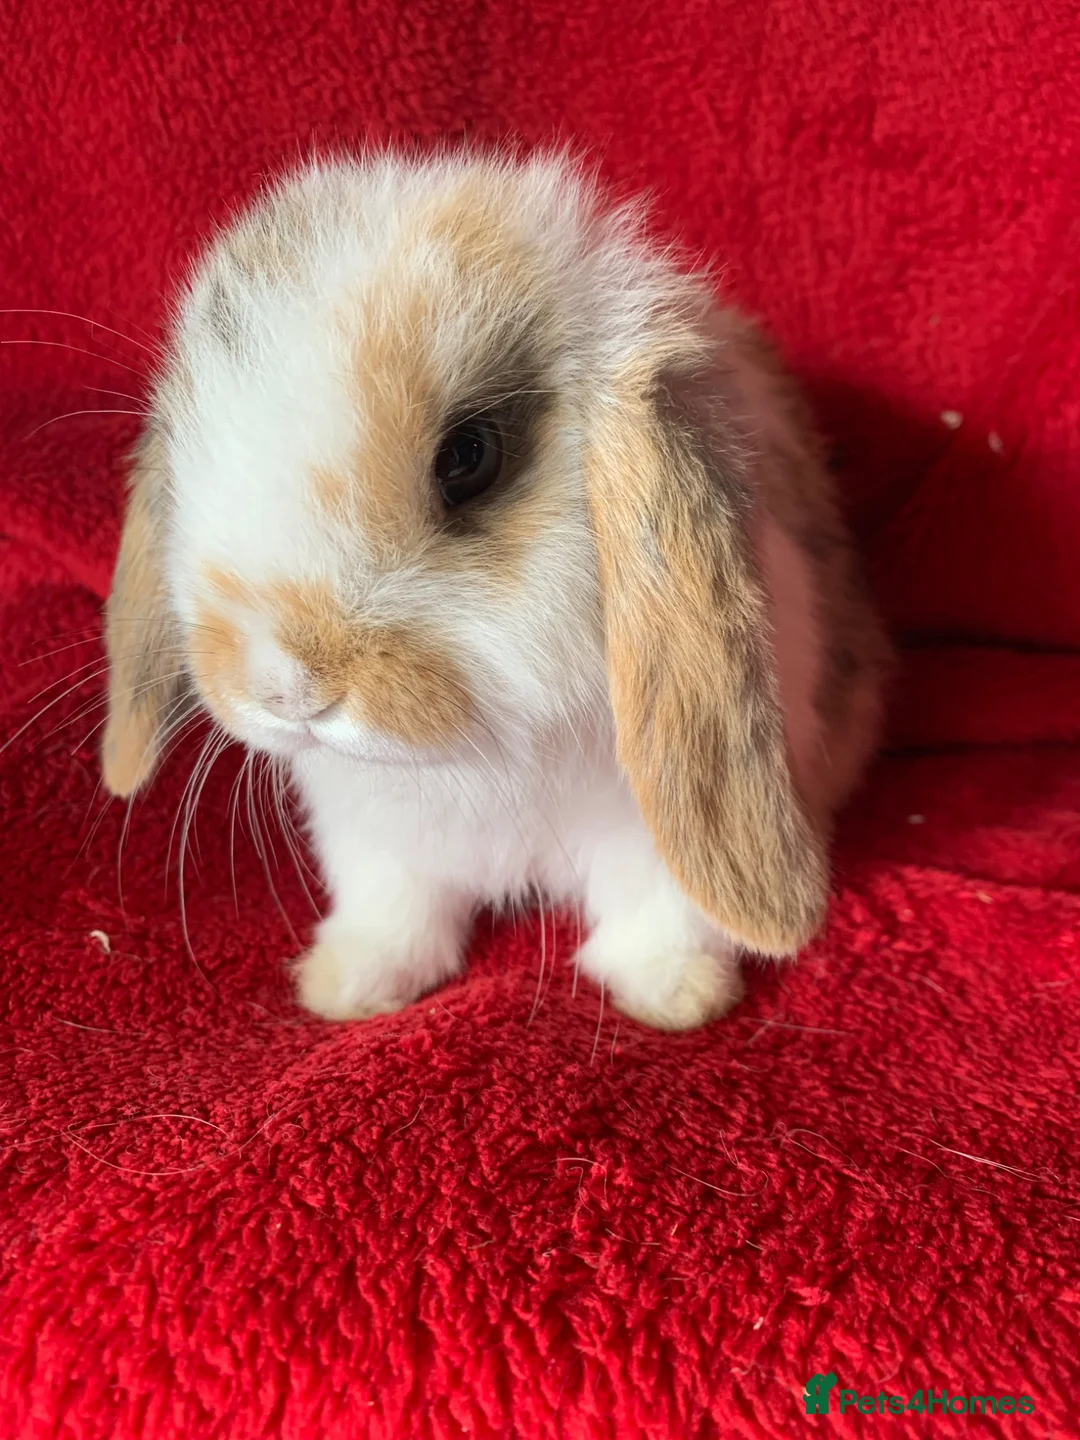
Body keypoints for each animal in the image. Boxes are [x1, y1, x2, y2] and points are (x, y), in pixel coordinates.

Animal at [102, 150, 890, 1031]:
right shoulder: (372, 838)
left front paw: (674, 995)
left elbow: (662, 909)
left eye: (469, 458)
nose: (286, 690)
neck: (472, 751)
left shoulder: (647, 834)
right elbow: (394, 909)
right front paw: (351, 985)